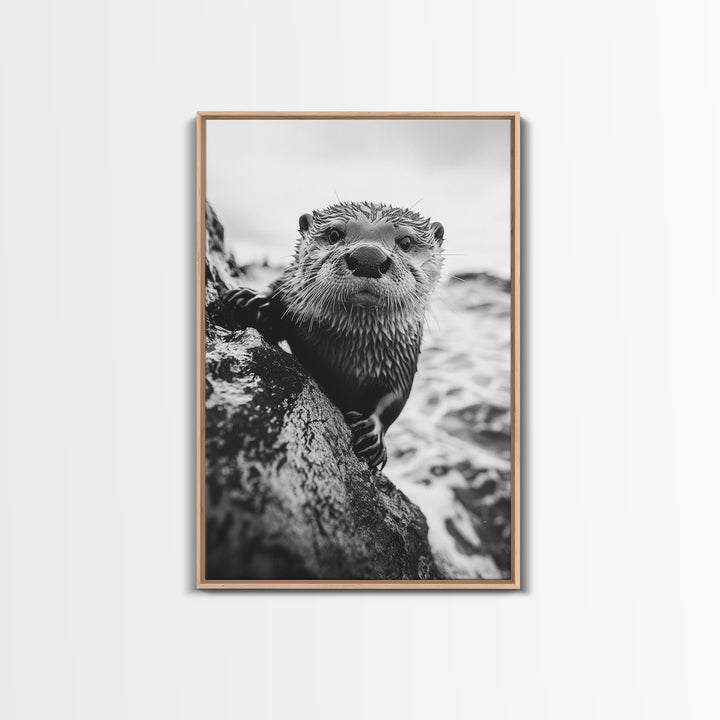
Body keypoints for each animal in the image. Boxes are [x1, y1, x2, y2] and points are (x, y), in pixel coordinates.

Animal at [221, 201, 445, 470]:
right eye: (335, 234)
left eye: (406, 241)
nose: (368, 258)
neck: (347, 351)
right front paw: (253, 300)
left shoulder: (402, 358)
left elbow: (394, 398)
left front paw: (372, 433)